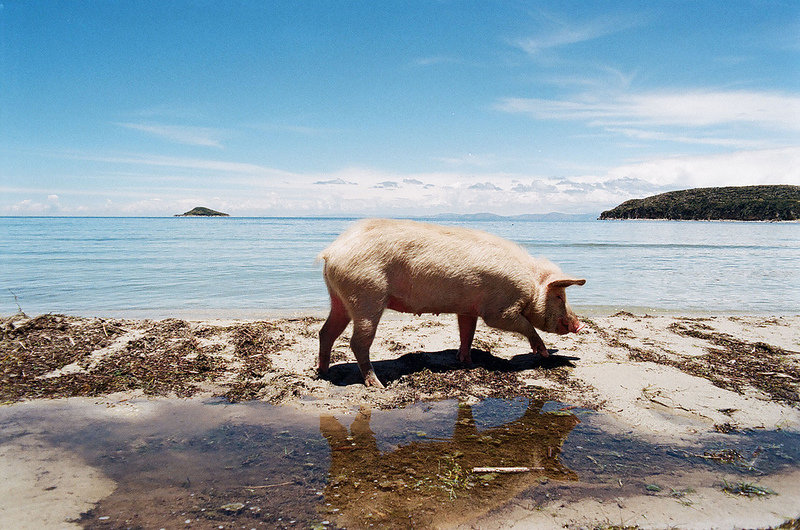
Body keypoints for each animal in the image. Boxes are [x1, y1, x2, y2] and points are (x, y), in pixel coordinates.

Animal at [316, 217, 584, 386]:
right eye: (559, 296)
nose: (579, 324)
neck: (529, 284)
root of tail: (332, 251)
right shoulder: (498, 309)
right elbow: (519, 324)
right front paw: (544, 353)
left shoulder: (468, 309)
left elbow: (468, 332)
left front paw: (466, 361)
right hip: (367, 294)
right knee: (357, 341)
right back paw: (377, 384)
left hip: (339, 298)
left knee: (326, 332)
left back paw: (323, 372)